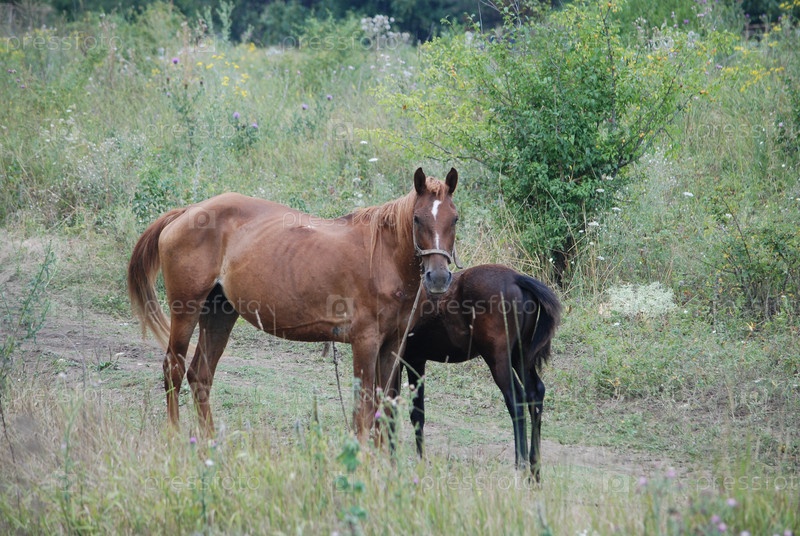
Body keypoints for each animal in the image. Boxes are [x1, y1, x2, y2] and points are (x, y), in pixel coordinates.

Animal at [127, 167, 459, 441]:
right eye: (417, 218)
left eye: (454, 219)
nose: (439, 277)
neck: (382, 257)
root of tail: (186, 211)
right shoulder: (365, 343)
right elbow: (363, 411)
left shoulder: (392, 345)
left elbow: (385, 408)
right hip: (186, 310)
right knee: (174, 369)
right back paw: (175, 437)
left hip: (220, 313)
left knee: (200, 376)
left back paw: (209, 442)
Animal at [401, 264, 561, 480]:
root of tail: (517, 278)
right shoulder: (415, 360)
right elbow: (417, 413)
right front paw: (420, 460)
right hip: (520, 356)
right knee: (535, 392)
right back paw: (534, 472)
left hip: (498, 359)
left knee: (516, 399)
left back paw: (520, 466)